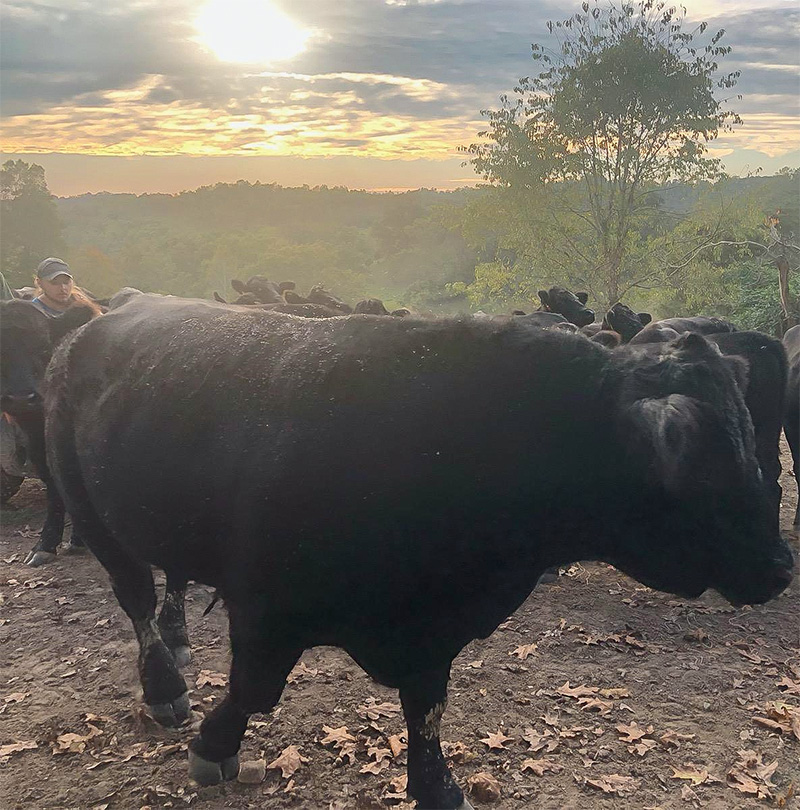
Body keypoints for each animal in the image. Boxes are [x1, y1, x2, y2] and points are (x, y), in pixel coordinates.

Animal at [45, 296, 793, 809]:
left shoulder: (435, 625)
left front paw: (437, 786)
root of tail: (101, 320)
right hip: (92, 513)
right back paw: (165, 686)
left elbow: (426, 706)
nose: (782, 566)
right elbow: (255, 689)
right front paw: (212, 746)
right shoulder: (265, 606)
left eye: (752, 442)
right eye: (712, 467)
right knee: (137, 598)